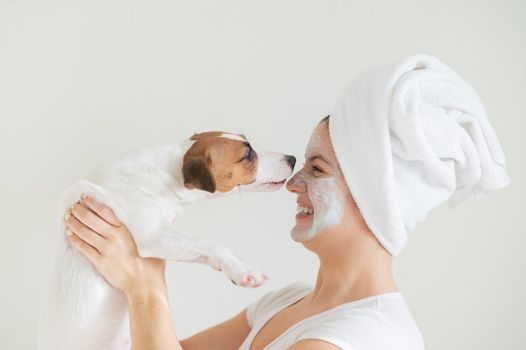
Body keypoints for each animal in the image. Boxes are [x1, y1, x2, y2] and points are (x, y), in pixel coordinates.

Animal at [38, 131, 296, 350]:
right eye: (247, 155)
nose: (292, 158)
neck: (167, 172)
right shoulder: (152, 236)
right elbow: (211, 243)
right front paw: (244, 271)